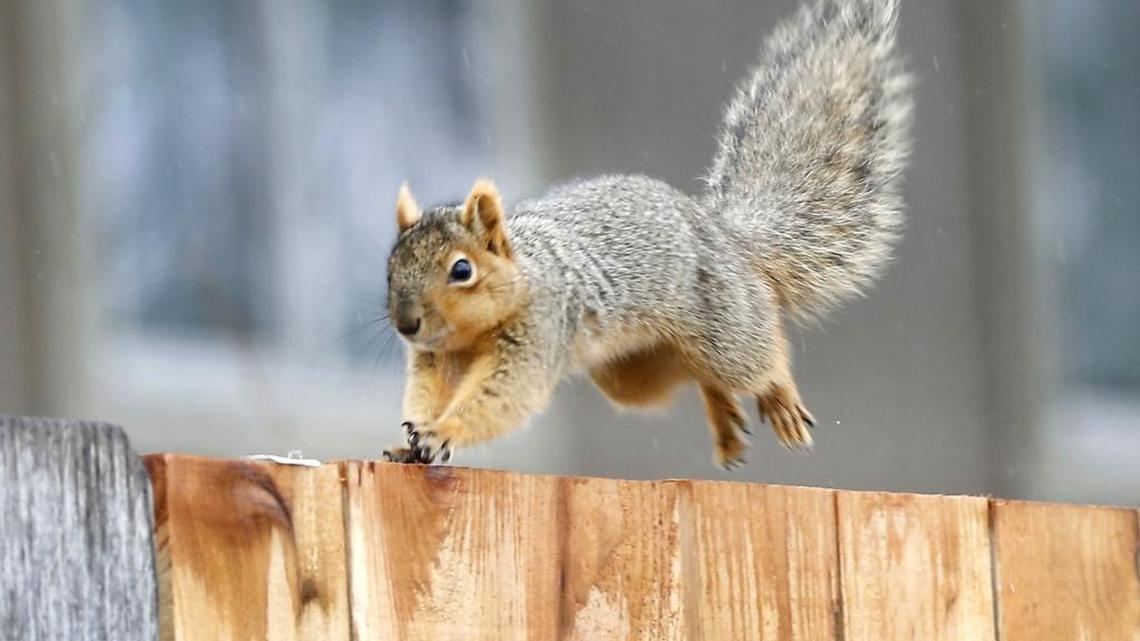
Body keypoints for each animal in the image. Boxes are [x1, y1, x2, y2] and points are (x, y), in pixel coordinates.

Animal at [381, 0, 911, 468]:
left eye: (462, 270)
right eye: (390, 270)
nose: (406, 324)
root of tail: (723, 233)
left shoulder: (539, 330)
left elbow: (504, 395)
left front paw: (441, 432)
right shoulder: (436, 360)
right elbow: (427, 395)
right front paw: (412, 439)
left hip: (725, 327)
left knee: (758, 358)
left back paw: (780, 398)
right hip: (636, 371)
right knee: (696, 375)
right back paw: (725, 420)